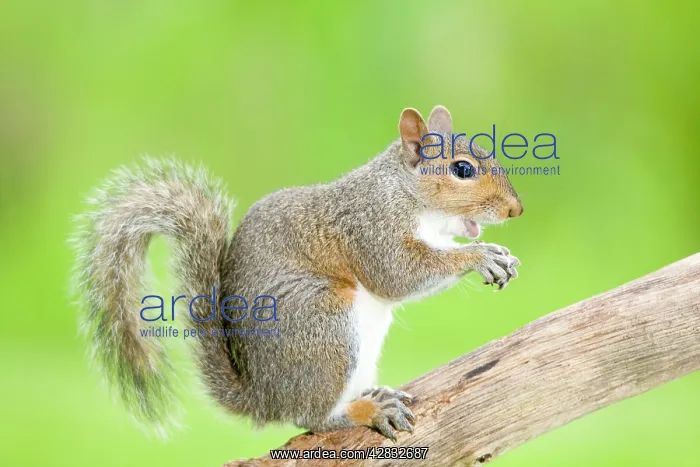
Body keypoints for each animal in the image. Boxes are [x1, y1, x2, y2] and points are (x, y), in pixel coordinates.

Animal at [72, 105, 523, 440]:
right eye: (462, 169)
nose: (516, 210)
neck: (406, 193)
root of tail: (264, 397)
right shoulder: (371, 228)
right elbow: (397, 274)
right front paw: (480, 256)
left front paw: (498, 251)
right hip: (325, 324)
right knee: (312, 418)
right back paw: (366, 411)